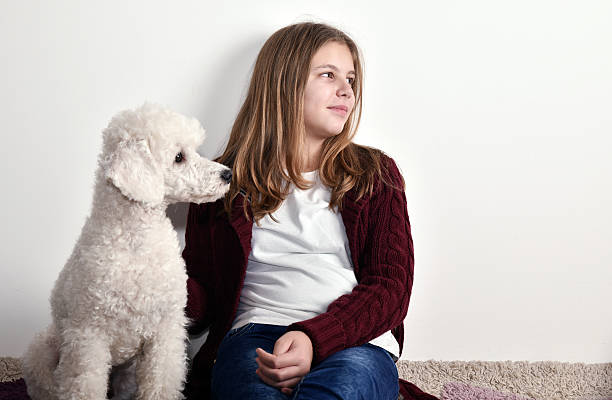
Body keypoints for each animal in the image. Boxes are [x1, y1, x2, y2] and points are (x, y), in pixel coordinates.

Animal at [22, 104, 232, 400]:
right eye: (179, 157)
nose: (227, 174)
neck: (137, 243)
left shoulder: (166, 331)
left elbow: (162, 382)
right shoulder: (89, 335)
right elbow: (86, 386)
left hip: (129, 371)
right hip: (46, 348)